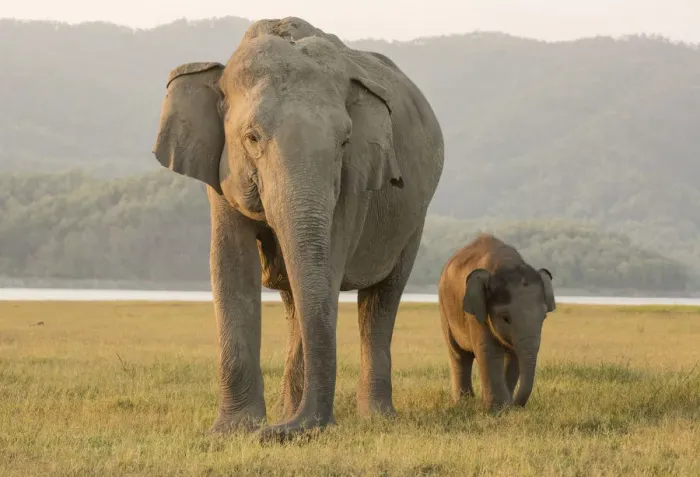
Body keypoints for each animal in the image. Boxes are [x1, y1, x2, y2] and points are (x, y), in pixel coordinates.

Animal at [151, 17, 444, 441]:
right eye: (251, 137)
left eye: (345, 142)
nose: (273, 433)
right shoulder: (219, 178)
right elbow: (230, 265)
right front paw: (233, 430)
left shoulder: (352, 186)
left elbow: (327, 271)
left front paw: (273, 428)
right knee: (295, 296)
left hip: (414, 218)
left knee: (382, 299)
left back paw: (375, 417)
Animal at [437, 234, 556, 412]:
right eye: (505, 318)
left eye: (544, 318)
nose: (517, 406)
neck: (506, 263)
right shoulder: (477, 311)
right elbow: (489, 350)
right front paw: (497, 410)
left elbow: (514, 356)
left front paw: (505, 408)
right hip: (444, 308)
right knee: (458, 354)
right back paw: (463, 403)